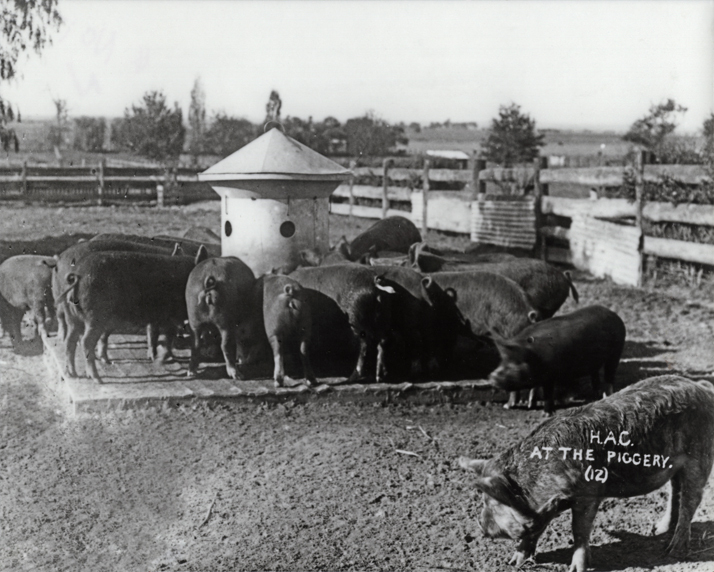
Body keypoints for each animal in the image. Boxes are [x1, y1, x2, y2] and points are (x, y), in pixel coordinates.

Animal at [61, 250, 201, 382]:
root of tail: (78, 274)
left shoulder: (156, 318)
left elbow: (153, 334)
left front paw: (153, 356)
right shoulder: (170, 316)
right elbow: (168, 336)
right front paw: (163, 359)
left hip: (71, 316)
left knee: (70, 341)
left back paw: (73, 374)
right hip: (94, 317)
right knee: (86, 342)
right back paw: (97, 379)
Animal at [459, 375, 714, 572]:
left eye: (493, 502)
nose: (480, 526)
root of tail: (704, 389)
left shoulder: (588, 492)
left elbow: (579, 529)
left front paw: (576, 568)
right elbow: (533, 531)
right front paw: (513, 562)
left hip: (699, 457)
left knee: (691, 499)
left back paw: (673, 550)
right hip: (675, 466)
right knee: (675, 493)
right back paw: (657, 530)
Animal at [489, 305, 626, 414]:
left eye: (517, 362)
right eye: (504, 360)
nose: (492, 376)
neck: (535, 356)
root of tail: (615, 315)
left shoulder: (550, 376)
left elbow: (548, 394)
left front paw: (547, 413)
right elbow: (535, 389)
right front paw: (527, 406)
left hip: (616, 352)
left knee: (609, 376)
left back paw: (607, 395)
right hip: (595, 361)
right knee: (595, 375)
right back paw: (597, 395)